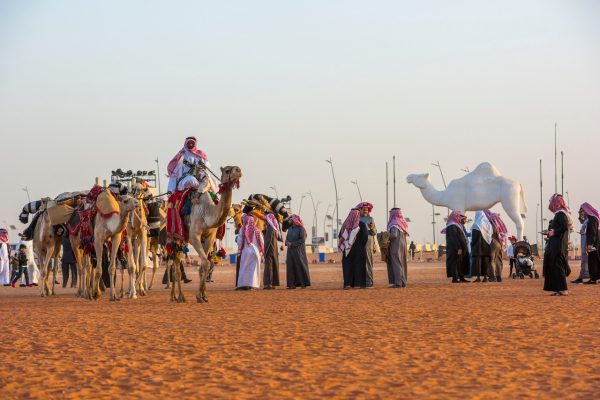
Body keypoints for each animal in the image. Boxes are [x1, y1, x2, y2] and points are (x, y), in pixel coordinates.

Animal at [169, 164, 241, 302]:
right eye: (227, 170)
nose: (238, 170)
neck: (207, 212)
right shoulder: (194, 236)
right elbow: (206, 263)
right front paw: (199, 296)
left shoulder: (210, 237)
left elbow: (205, 265)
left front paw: (203, 295)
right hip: (175, 236)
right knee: (175, 267)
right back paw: (178, 297)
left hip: (184, 239)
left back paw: (175, 296)